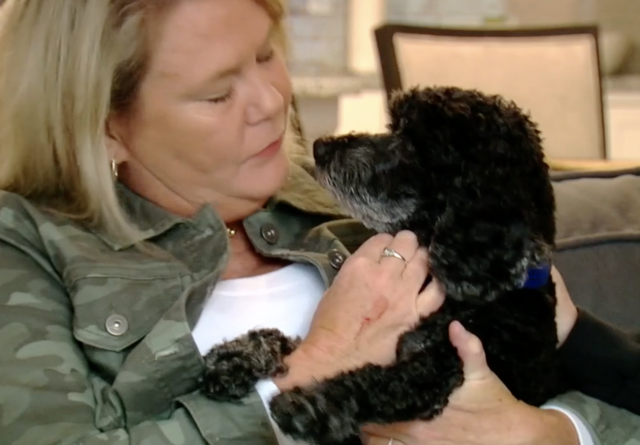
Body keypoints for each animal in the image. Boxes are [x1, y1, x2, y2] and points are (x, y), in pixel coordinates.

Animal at [201, 85, 564, 442]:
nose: (320, 147)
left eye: (408, 143)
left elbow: (378, 384)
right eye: (395, 126)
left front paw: (310, 405)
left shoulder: (440, 371)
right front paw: (236, 357)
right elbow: (292, 341)